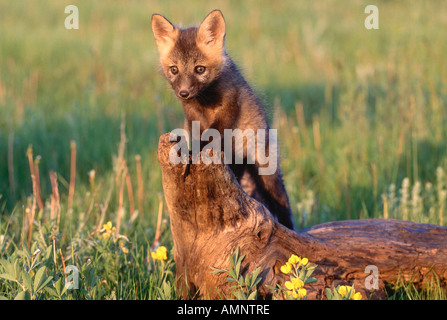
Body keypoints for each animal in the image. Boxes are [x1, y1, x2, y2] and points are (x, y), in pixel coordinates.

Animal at [152, 10, 296, 230]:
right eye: (174, 69)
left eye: (200, 69)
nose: (184, 93)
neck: (204, 102)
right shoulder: (192, 116)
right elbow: (198, 135)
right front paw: (190, 152)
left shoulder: (229, 107)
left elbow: (213, 134)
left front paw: (198, 151)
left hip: (267, 174)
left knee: (283, 204)